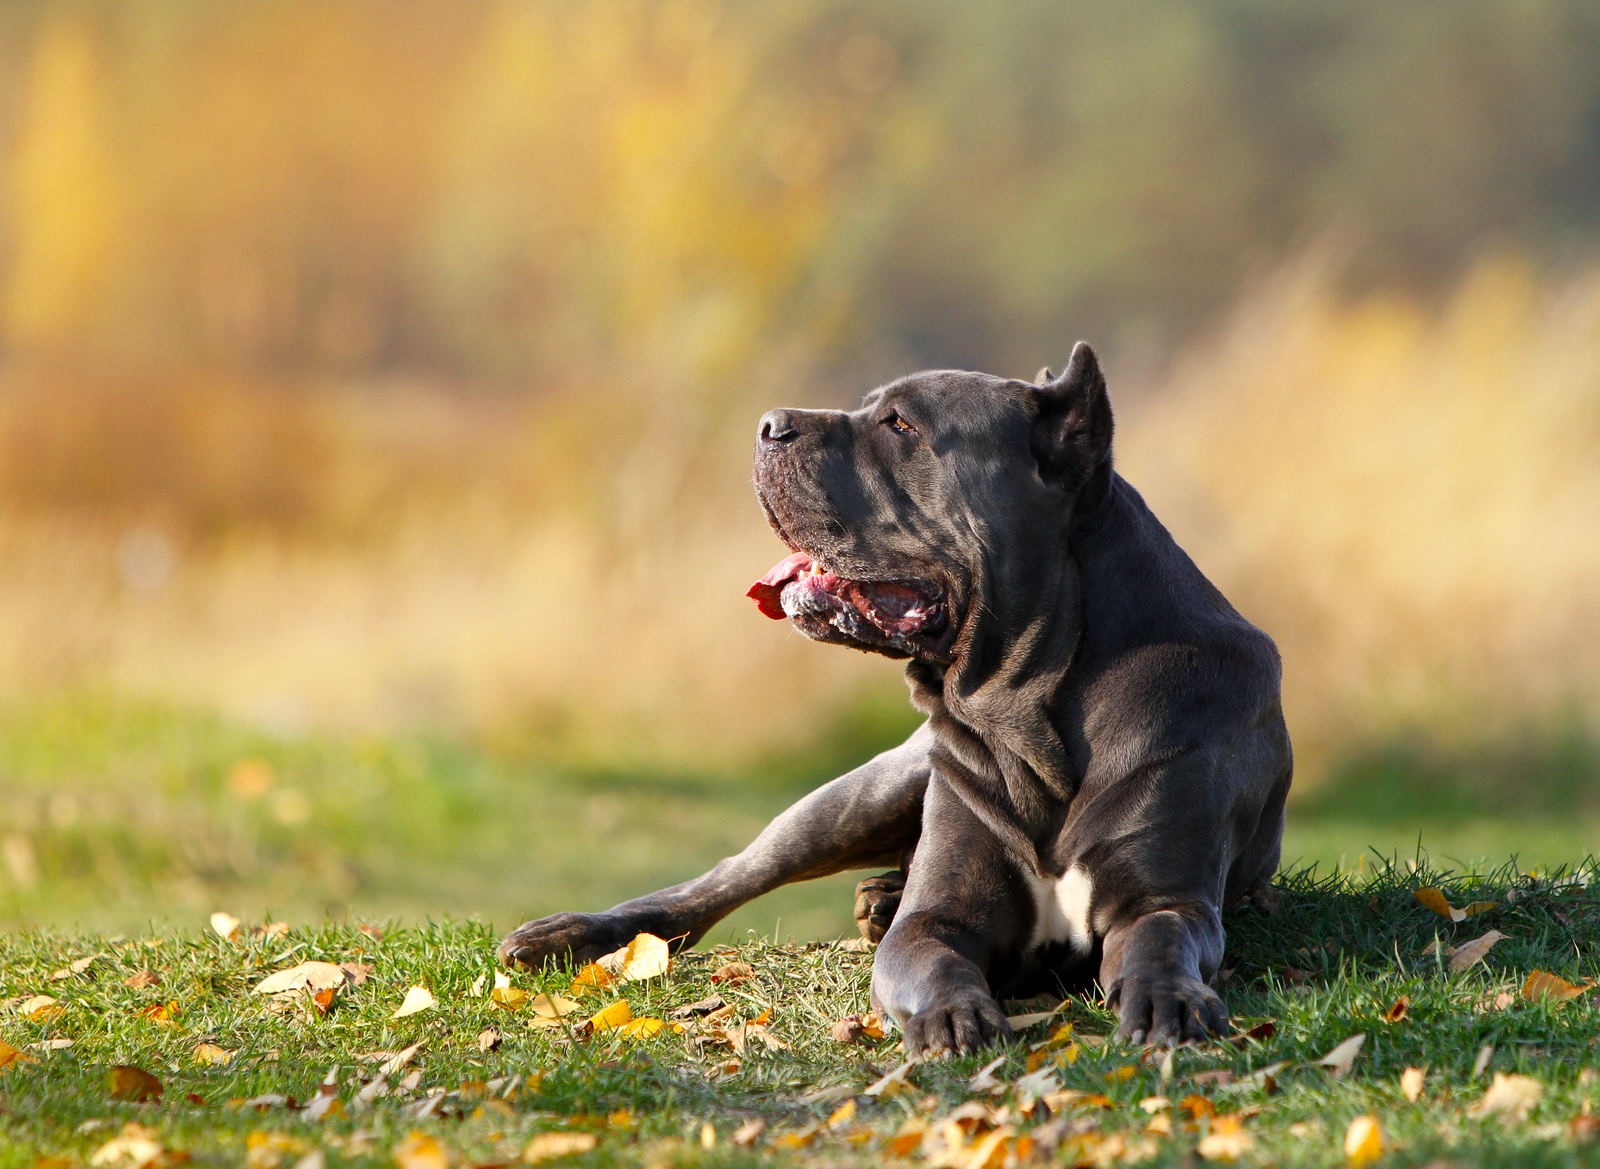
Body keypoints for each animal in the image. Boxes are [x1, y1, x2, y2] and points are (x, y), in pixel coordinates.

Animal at [505, 342, 1292, 1055]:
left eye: (900, 424)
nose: (768, 423)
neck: (1028, 705)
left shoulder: (1165, 896)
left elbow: (1162, 942)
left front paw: (1168, 1001)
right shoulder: (937, 917)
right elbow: (932, 960)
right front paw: (952, 1016)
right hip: (861, 795)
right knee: (722, 880)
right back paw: (568, 934)